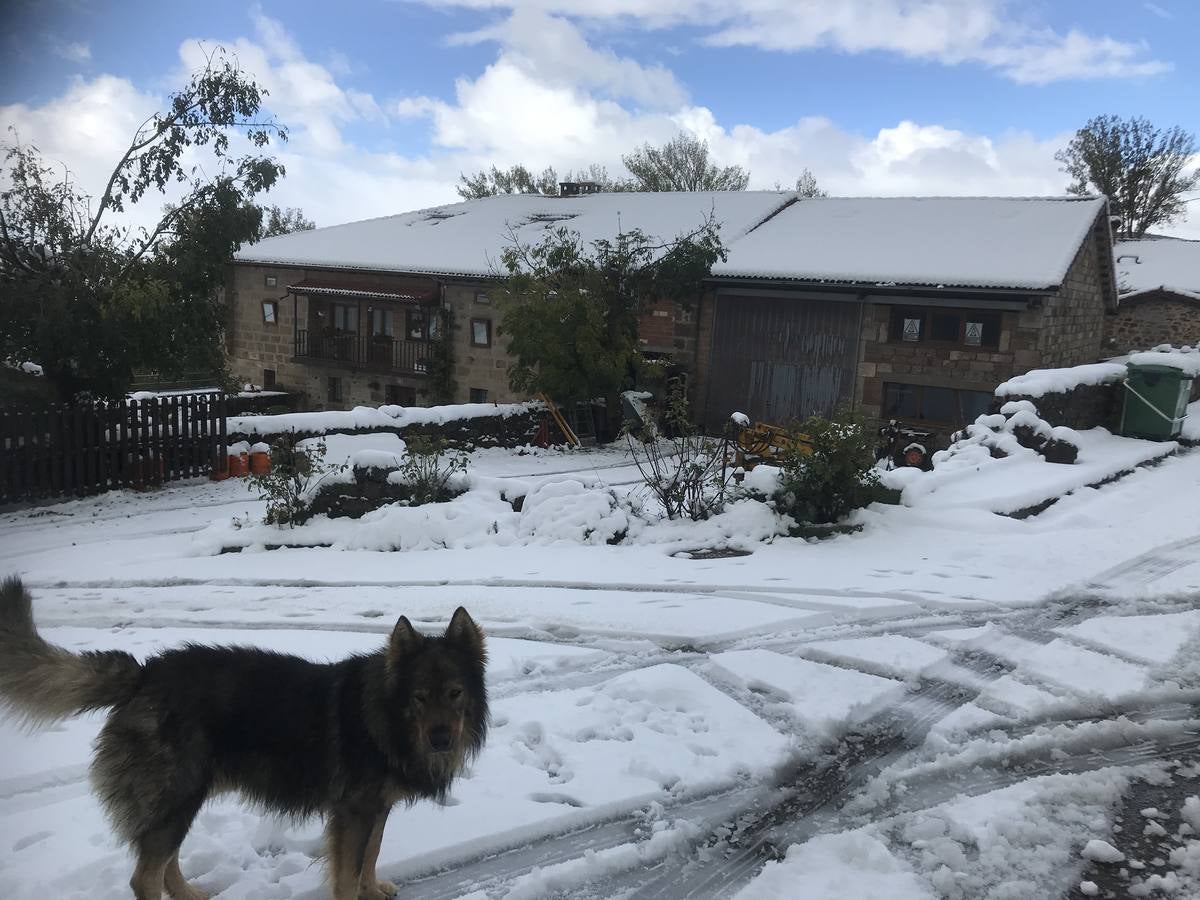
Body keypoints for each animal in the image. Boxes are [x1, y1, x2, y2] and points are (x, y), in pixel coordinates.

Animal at [0, 578, 489, 900]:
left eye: (455, 693)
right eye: (420, 697)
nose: (441, 740)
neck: (384, 716)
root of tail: (145, 675)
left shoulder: (375, 807)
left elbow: (371, 854)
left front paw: (373, 888)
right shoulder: (353, 812)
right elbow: (349, 872)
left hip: (183, 798)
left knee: (165, 862)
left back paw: (191, 896)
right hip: (177, 793)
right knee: (145, 876)